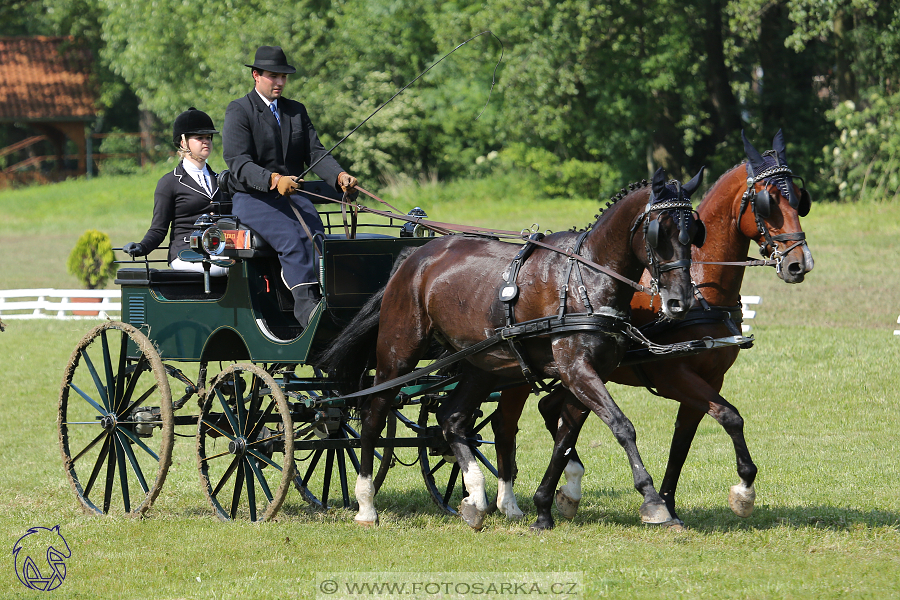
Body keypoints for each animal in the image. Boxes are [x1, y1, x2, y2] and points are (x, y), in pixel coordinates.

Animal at [320, 166, 708, 528]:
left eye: (693, 233)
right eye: (659, 231)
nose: (680, 301)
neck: (587, 278)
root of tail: (413, 259)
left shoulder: (591, 372)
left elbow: (566, 436)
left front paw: (553, 502)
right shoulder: (576, 369)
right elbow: (621, 425)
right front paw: (653, 501)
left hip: (481, 364)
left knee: (452, 417)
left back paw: (476, 496)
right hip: (397, 353)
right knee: (373, 416)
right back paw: (366, 503)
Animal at [492, 129, 816, 528]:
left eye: (799, 200)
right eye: (768, 202)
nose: (800, 264)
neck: (700, 286)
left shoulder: (711, 378)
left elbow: (688, 439)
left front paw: (669, 503)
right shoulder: (673, 375)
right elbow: (728, 416)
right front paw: (742, 492)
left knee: (551, 409)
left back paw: (567, 490)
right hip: (518, 374)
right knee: (505, 424)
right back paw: (508, 500)